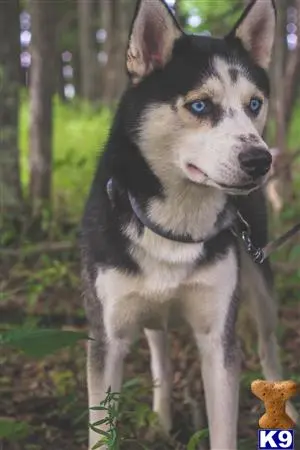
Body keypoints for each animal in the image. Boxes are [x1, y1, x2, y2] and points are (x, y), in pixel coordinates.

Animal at [79, 0, 298, 446]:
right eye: (200, 106)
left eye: (254, 104)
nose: (260, 161)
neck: (175, 226)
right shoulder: (106, 337)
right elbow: (101, 430)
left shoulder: (218, 338)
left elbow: (224, 429)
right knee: (160, 354)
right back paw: (163, 416)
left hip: (261, 283)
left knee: (268, 347)